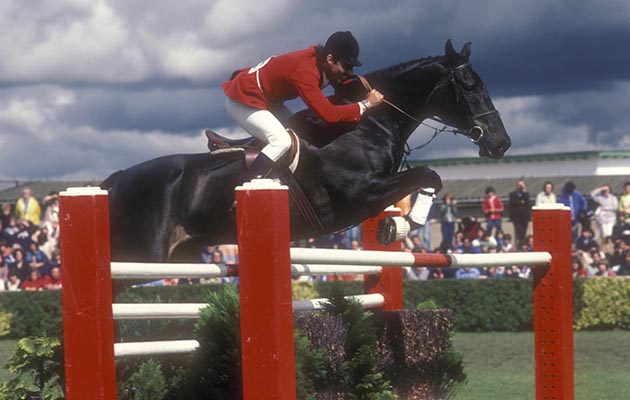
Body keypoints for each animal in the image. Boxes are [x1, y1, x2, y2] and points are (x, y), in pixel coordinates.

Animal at [101, 40, 512, 262]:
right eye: (470, 86)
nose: (501, 142)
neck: (365, 126)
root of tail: (115, 181)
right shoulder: (360, 195)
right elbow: (429, 174)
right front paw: (402, 224)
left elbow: (429, 178)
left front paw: (396, 225)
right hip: (142, 255)